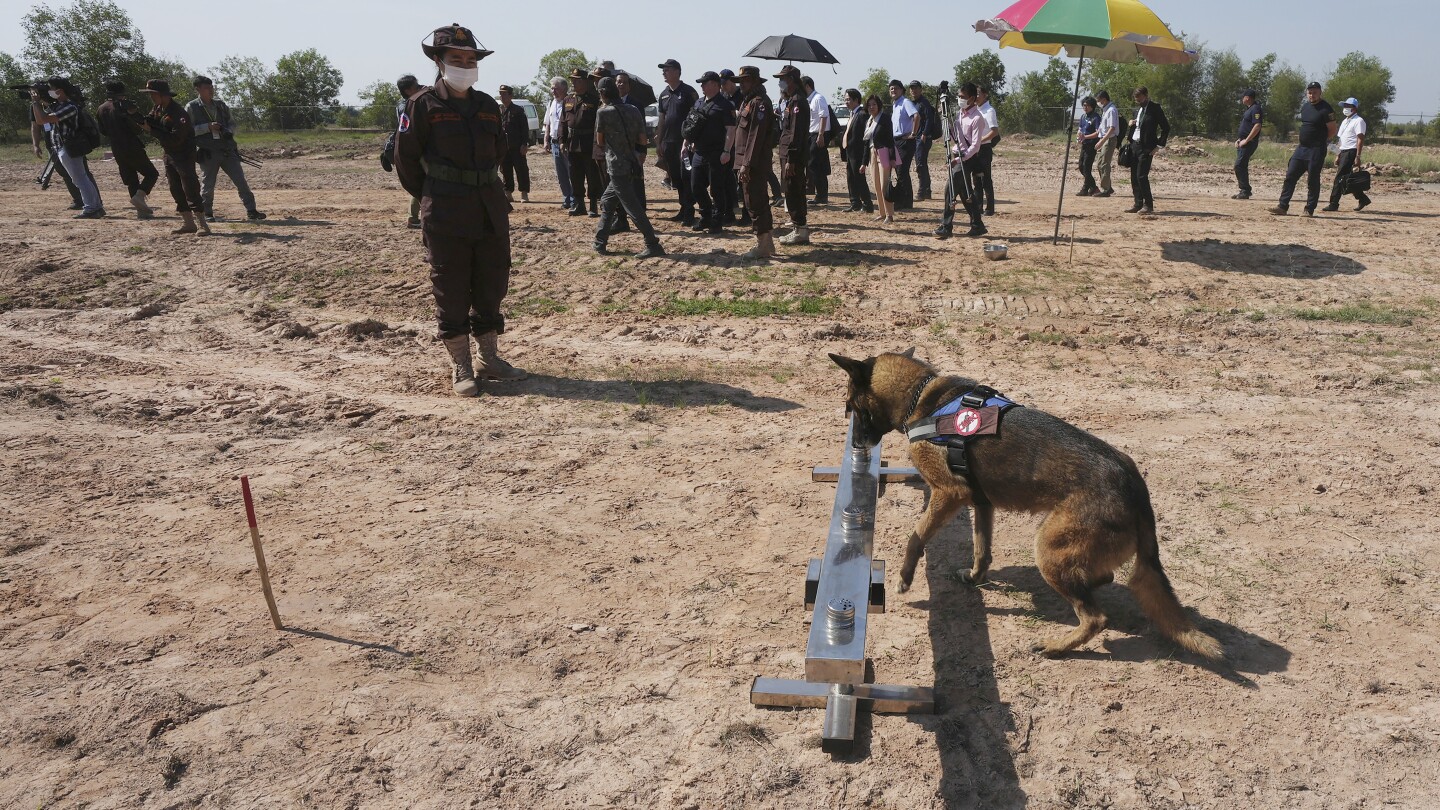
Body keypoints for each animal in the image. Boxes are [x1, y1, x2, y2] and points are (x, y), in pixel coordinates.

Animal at [829, 350, 1221, 660]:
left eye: (851, 407)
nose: (857, 446)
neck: (921, 396)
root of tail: (1135, 485)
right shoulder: (981, 502)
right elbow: (982, 549)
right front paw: (975, 578)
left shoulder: (950, 493)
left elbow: (916, 537)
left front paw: (905, 578)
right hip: (1064, 550)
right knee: (1103, 577)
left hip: (1047, 548)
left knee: (1096, 618)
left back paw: (1056, 646)